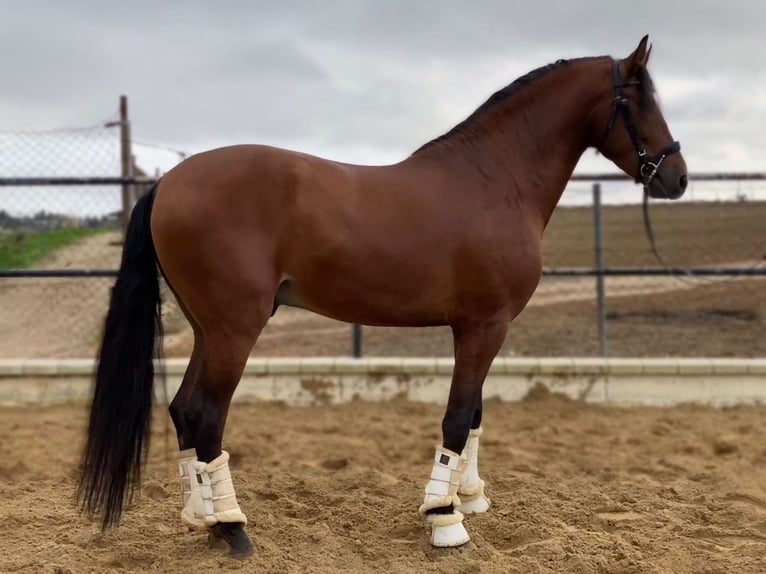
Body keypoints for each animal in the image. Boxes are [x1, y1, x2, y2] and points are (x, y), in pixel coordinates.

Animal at [78, 36, 688, 560]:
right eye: (639, 99)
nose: (678, 177)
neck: (493, 181)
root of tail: (168, 183)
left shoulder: (483, 327)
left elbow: (475, 414)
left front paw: (470, 497)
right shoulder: (485, 325)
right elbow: (457, 417)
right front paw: (445, 518)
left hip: (208, 328)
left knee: (183, 409)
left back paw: (202, 519)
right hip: (235, 329)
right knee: (206, 414)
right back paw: (232, 528)